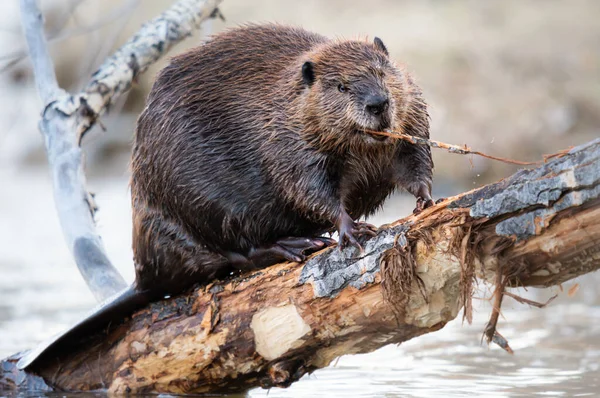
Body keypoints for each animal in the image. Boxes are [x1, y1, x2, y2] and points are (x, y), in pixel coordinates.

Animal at [17, 23, 432, 368]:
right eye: (342, 85)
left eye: (382, 72)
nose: (378, 104)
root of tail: (144, 275)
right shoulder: (287, 142)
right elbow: (307, 187)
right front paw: (350, 228)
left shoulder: (412, 115)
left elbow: (415, 161)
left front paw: (426, 201)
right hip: (202, 204)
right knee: (234, 252)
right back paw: (297, 244)